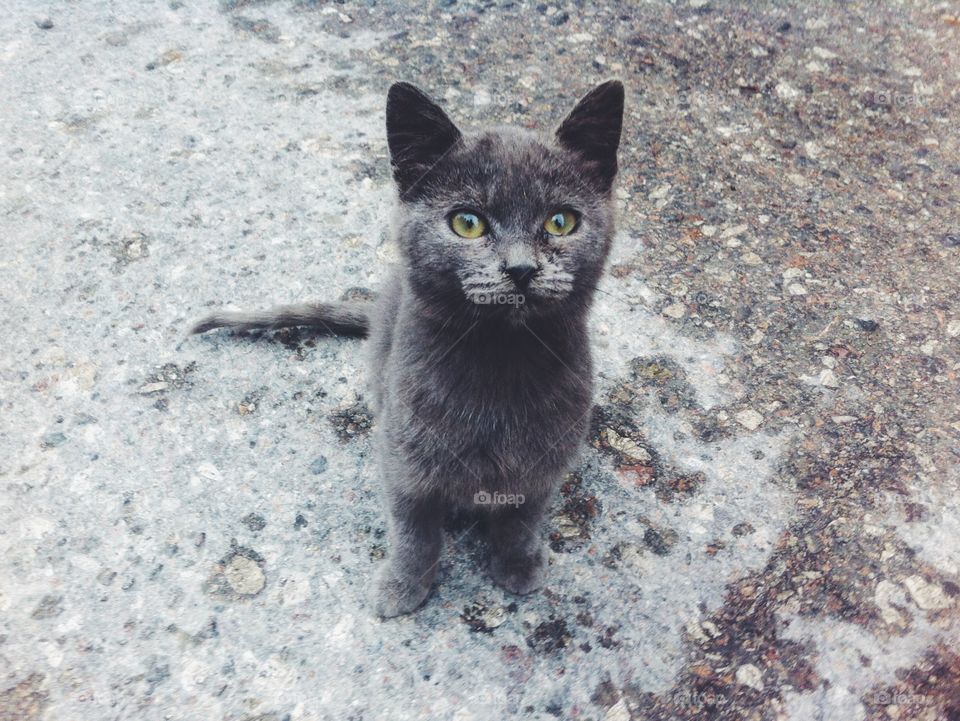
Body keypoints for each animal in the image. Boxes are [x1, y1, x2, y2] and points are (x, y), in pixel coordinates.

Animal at [191, 80, 628, 620]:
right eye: (467, 223)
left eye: (561, 221)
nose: (521, 268)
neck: (498, 369)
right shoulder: (403, 461)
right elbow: (414, 533)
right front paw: (403, 588)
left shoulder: (543, 467)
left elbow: (522, 519)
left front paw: (517, 566)